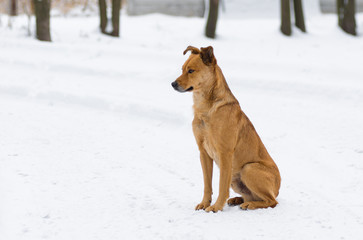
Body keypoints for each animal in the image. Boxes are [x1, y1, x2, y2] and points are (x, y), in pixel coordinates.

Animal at [171, 45, 282, 212]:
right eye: (182, 69)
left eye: (191, 71)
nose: (172, 84)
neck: (206, 108)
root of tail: (278, 187)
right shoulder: (203, 152)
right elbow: (207, 184)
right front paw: (205, 203)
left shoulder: (225, 154)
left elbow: (221, 185)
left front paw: (216, 207)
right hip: (236, 178)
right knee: (253, 196)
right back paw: (237, 200)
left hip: (248, 169)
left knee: (272, 201)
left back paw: (249, 205)